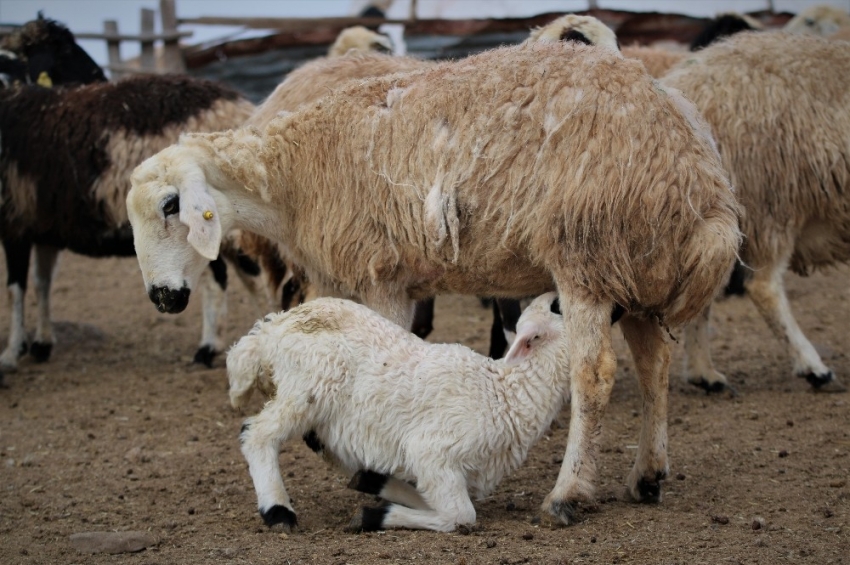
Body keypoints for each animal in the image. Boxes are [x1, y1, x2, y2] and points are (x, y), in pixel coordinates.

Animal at [0, 74, 255, 374]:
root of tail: (238, 106)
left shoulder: (14, 221)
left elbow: (15, 289)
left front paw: (11, 352)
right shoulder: (43, 229)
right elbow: (42, 282)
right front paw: (42, 343)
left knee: (220, 280)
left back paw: (207, 348)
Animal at [229, 288, 568, 532]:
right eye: (559, 306)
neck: (506, 392)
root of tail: (272, 329)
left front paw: (376, 486)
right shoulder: (433, 451)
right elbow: (460, 515)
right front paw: (372, 516)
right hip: (309, 387)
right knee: (257, 435)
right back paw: (278, 511)